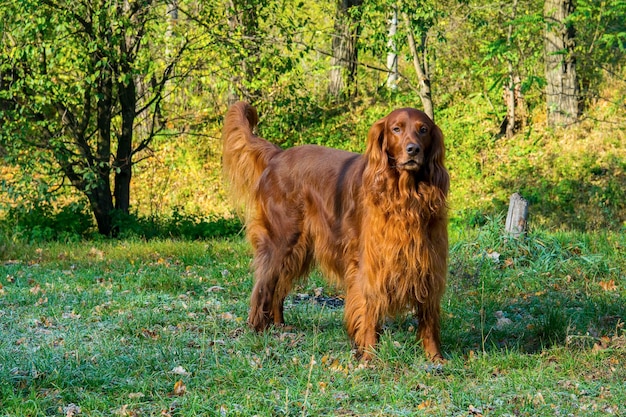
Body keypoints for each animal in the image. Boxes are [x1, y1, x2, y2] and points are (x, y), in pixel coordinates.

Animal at [222, 101, 446, 360]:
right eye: (396, 129)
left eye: (423, 129)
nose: (413, 150)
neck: (405, 196)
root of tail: (277, 155)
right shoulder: (369, 263)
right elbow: (369, 309)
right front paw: (369, 356)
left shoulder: (428, 259)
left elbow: (429, 314)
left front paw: (435, 357)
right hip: (281, 239)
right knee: (264, 285)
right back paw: (259, 329)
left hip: (299, 248)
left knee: (278, 285)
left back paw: (279, 326)